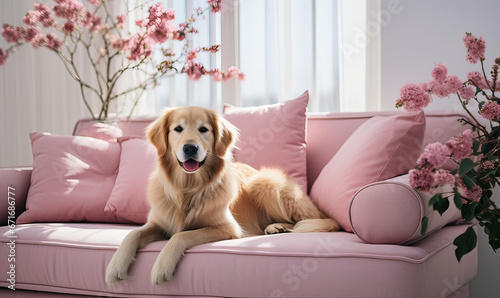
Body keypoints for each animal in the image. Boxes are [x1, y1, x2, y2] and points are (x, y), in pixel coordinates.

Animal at [105, 106, 340, 286]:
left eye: (204, 129)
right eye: (178, 129)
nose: (190, 148)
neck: (188, 190)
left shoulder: (228, 228)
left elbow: (180, 236)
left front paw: (162, 266)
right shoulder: (158, 223)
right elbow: (132, 234)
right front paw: (115, 266)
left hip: (266, 181)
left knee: (313, 221)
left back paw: (279, 227)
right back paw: (276, 227)